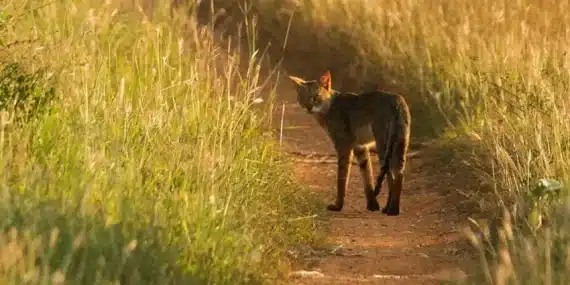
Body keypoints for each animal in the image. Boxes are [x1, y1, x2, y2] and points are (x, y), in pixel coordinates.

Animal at [288, 70, 408, 214]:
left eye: (316, 96)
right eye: (303, 97)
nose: (308, 107)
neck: (329, 107)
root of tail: (397, 99)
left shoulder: (343, 146)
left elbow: (342, 179)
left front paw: (338, 205)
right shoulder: (360, 147)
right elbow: (367, 178)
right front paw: (372, 205)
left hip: (384, 147)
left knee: (392, 175)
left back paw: (392, 210)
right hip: (398, 145)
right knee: (398, 174)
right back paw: (391, 208)